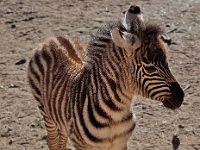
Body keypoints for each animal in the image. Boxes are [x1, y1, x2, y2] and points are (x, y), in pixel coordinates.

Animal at [27, 4, 184, 150]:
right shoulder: (84, 146)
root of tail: (51, 38)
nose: (181, 97)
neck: (115, 114)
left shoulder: (120, 144)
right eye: (150, 68)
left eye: (167, 62)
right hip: (45, 110)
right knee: (52, 140)